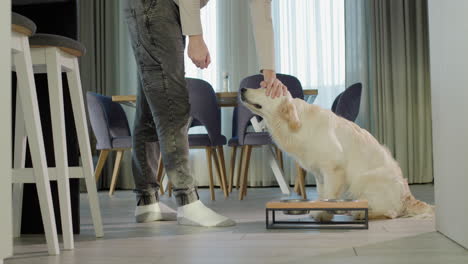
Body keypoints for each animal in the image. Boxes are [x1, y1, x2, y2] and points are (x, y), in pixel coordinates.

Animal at [241, 87, 436, 221]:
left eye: (263, 88)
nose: (242, 89)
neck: (296, 123)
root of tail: (407, 197)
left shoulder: (333, 169)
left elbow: (329, 195)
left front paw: (323, 215)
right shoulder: (319, 174)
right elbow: (322, 194)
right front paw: (318, 212)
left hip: (365, 179)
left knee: (390, 212)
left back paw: (361, 213)